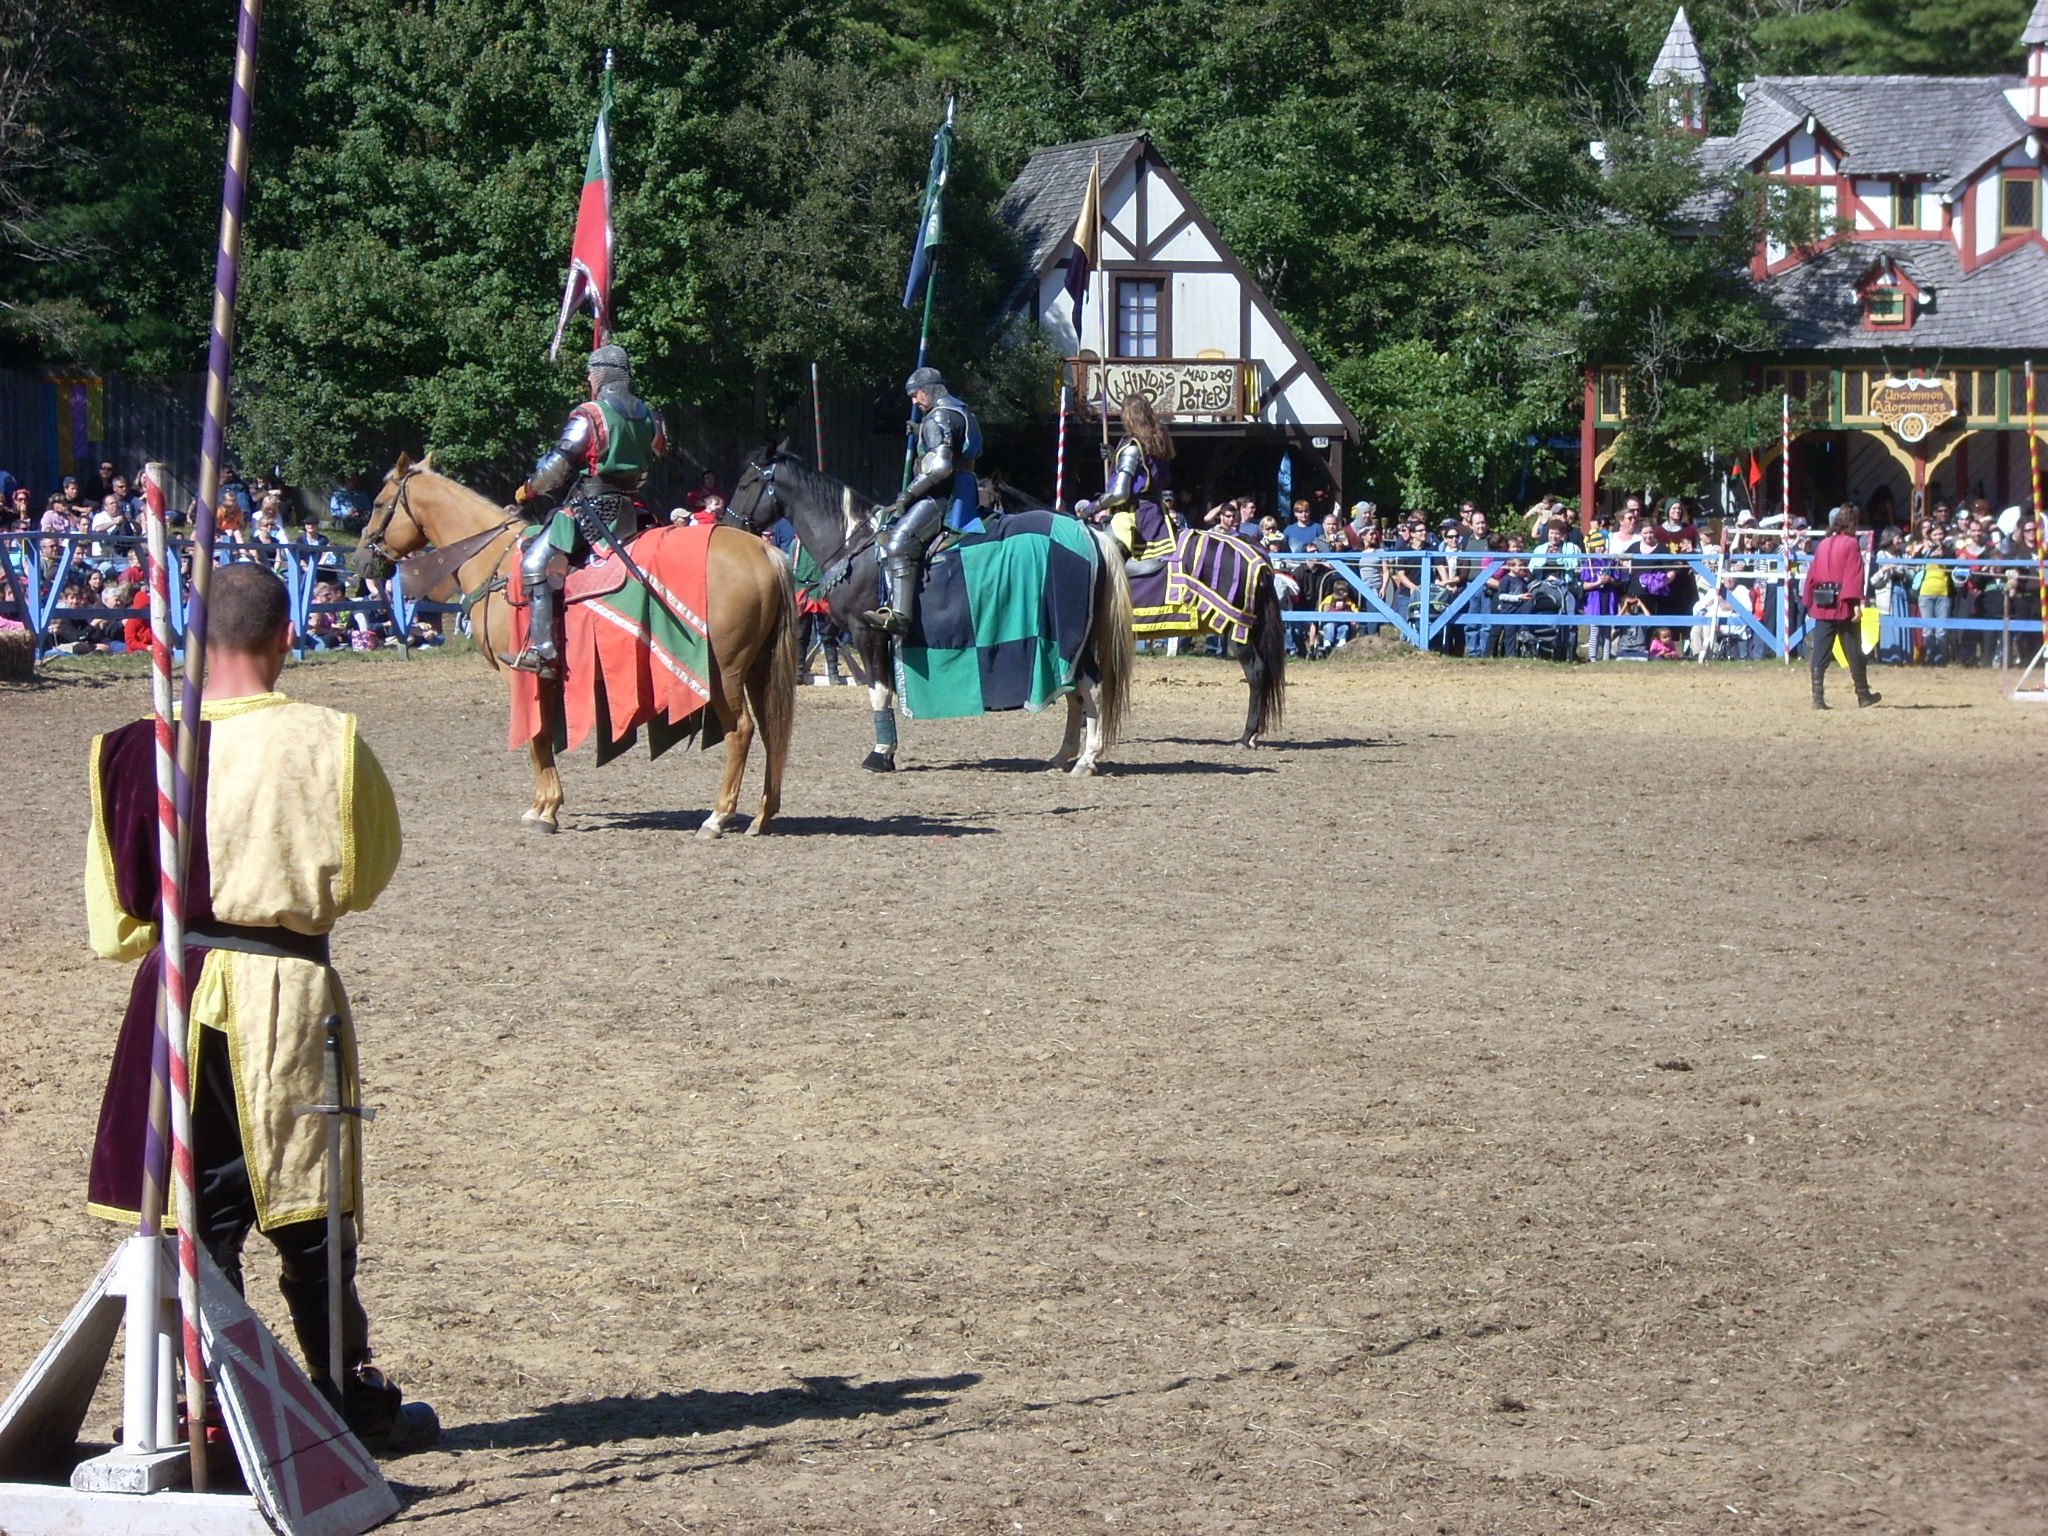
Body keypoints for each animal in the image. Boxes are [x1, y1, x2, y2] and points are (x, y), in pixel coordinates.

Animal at [356, 456, 794, 843]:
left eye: (378, 503)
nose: (361, 557)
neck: (496, 559)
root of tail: (764, 551)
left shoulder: (522, 674)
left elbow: (535, 737)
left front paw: (544, 810)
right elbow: (545, 734)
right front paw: (545, 805)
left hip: (724, 672)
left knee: (742, 730)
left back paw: (717, 817)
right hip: (757, 668)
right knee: (772, 729)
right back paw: (763, 816)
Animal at [724, 448, 1146, 782]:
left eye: (746, 482)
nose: (727, 527)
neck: (854, 543)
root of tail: (1090, 535)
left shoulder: (867, 632)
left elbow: (878, 691)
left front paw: (880, 755)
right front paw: (887, 752)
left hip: (1069, 636)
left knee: (1091, 686)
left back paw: (1086, 760)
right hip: (1067, 642)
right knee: (1075, 691)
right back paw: (1062, 756)